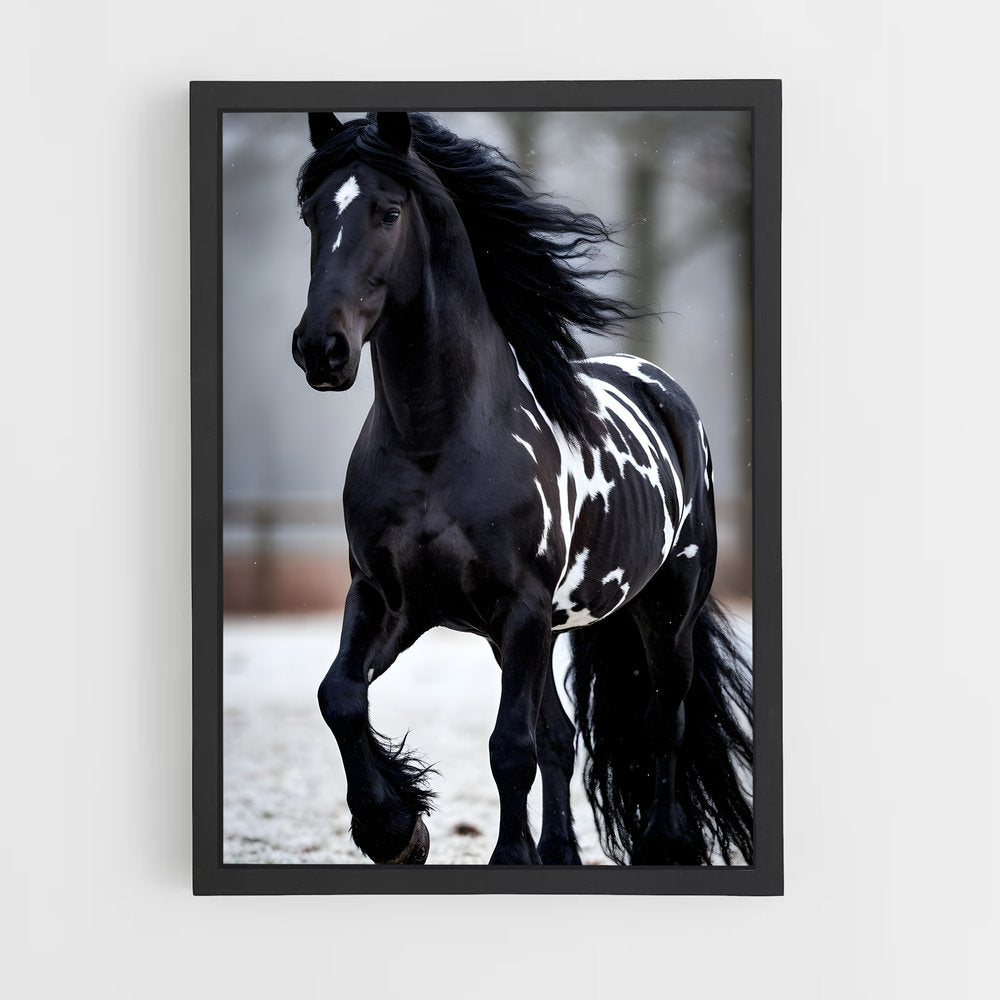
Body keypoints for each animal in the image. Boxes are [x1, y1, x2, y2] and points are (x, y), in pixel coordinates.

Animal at [291, 111, 753, 866]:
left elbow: (510, 747)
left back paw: (664, 843)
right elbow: (341, 697)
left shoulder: (521, 608)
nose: (321, 349)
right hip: (527, 632)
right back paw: (561, 852)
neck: (436, 444)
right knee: (562, 736)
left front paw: (507, 855)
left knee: (664, 720)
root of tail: (666, 394)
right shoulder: (391, 599)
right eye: (310, 214)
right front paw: (394, 828)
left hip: (665, 606)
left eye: (388, 210)